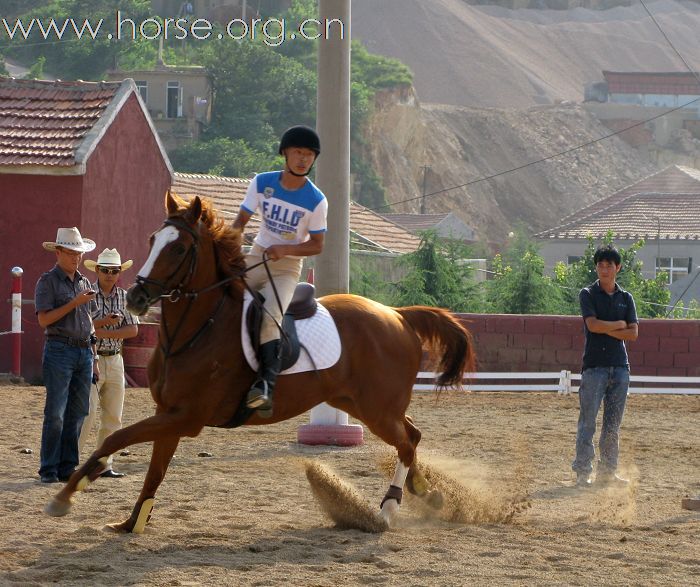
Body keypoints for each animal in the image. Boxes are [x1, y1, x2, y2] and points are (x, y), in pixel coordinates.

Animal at [45, 194, 476, 532]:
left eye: (179, 248)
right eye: (153, 240)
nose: (135, 298)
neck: (197, 329)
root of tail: (397, 315)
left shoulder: (186, 417)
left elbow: (115, 439)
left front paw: (66, 495)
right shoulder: (168, 413)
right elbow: (154, 471)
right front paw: (132, 521)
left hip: (376, 409)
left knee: (405, 441)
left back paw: (387, 509)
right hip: (358, 403)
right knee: (411, 436)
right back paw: (426, 493)